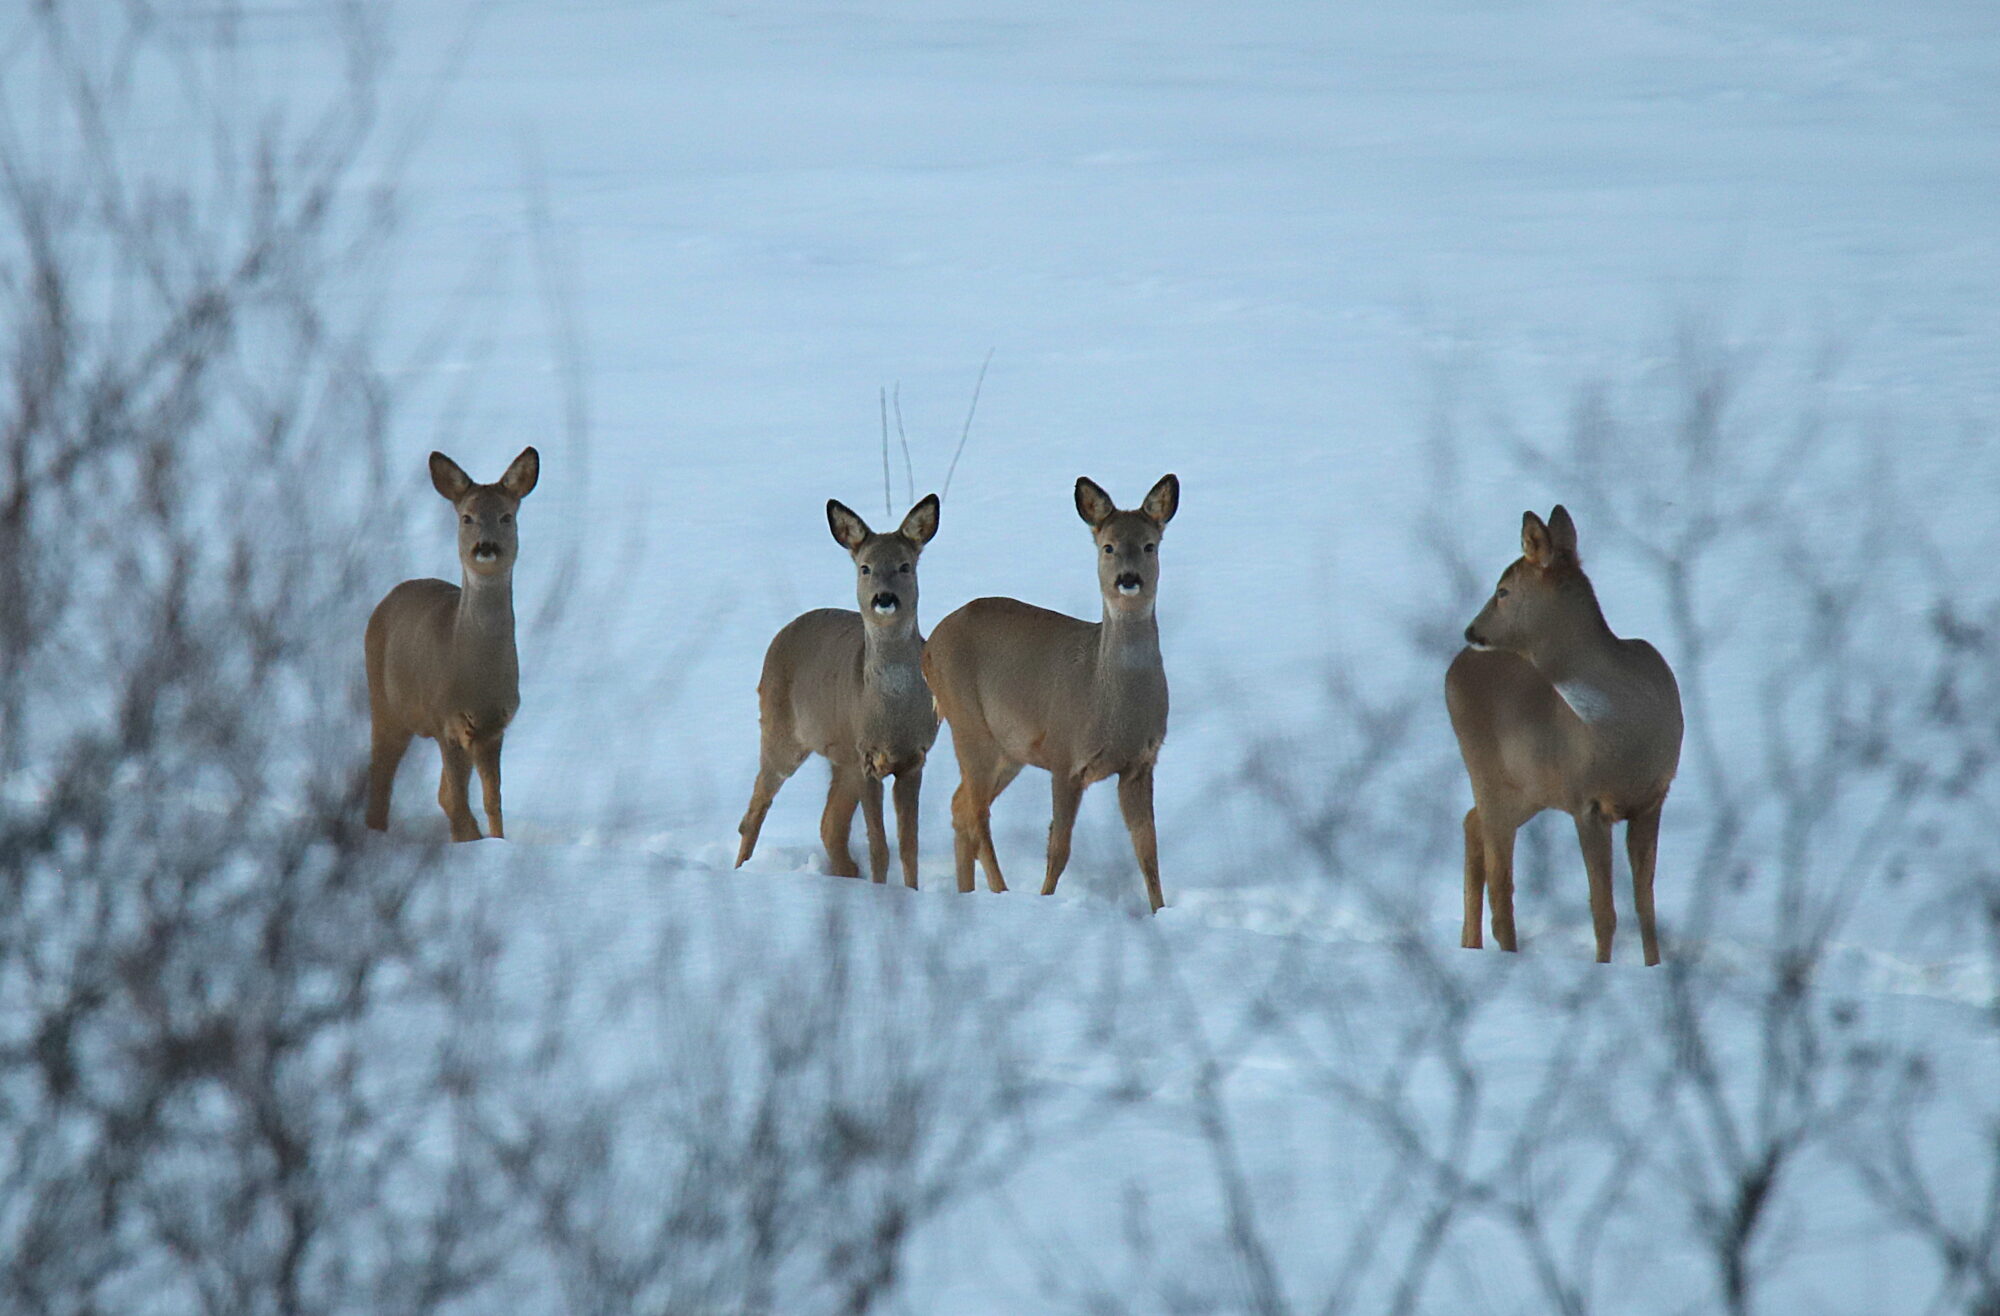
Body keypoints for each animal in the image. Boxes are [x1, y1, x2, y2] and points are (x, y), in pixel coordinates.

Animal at [364, 448, 540, 840]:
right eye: (467, 517)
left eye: (506, 516)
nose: (485, 547)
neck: (477, 677)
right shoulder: (446, 717)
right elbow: (461, 803)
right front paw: (469, 844)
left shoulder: (494, 725)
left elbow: (490, 800)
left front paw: (495, 842)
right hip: (384, 702)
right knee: (381, 777)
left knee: (441, 793)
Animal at [740, 492, 940, 880]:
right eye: (865, 567)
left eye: (905, 566)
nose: (884, 598)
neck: (893, 713)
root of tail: (783, 633)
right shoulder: (867, 758)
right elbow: (880, 848)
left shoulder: (913, 758)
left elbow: (909, 846)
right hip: (780, 732)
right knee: (756, 806)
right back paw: (740, 869)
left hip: (839, 755)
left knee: (829, 825)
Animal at [924, 472, 1176, 912]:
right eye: (1108, 546)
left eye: (1150, 545)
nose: (1128, 579)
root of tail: (928, 646)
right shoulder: (1064, 754)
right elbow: (1059, 847)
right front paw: (1045, 900)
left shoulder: (1140, 763)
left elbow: (1148, 851)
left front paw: (1160, 912)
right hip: (968, 723)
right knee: (976, 813)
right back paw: (999, 890)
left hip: (1009, 750)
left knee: (961, 805)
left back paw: (967, 893)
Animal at [1448, 502, 1680, 964]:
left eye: (1503, 590)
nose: (1471, 630)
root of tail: (1454, 666)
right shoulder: (1587, 801)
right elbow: (1604, 911)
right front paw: (1603, 967)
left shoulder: (1652, 797)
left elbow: (1645, 907)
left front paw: (1654, 967)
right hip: (1486, 769)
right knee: (1500, 882)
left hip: (1528, 789)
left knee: (1470, 823)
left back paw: (1471, 945)